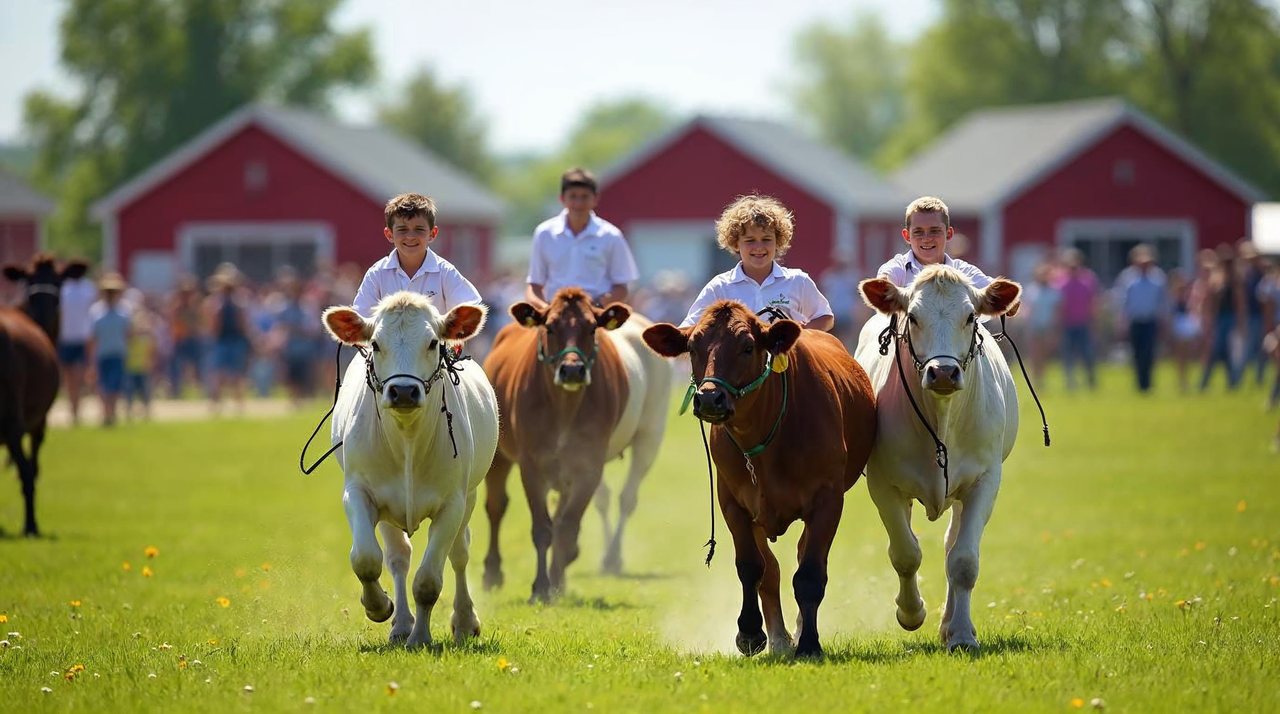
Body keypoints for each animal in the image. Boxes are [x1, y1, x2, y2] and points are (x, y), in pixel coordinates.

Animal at [1, 255, 85, 536]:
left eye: (59, 282)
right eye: (29, 283)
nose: (46, 311)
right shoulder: (39, 421)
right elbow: (32, 469)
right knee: (26, 470)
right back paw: (31, 525)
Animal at [321, 292, 499, 649]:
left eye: (432, 342)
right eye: (375, 343)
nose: (403, 391)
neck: (407, 439)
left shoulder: (452, 503)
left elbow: (428, 580)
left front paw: (421, 638)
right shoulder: (358, 492)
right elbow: (366, 559)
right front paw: (378, 606)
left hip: (471, 495)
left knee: (459, 553)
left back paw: (463, 621)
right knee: (398, 557)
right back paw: (401, 623)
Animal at [481, 287, 672, 602]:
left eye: (592, 327)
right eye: (549, 327)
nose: (572, 370)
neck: (564, 405)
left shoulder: (588, 464)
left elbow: (567, 526)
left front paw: (557, 582)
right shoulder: (531, 463)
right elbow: (542, 528)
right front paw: (540, 587)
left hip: (651, 430)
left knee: (625, 497)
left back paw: (610, 557)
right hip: (499, 450)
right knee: (496, 505)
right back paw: (492, 573)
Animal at [643, 300, 877, 658]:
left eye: (747, 347)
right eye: (693, 347)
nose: (709, 398)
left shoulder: (828, 499)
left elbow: (810, 573)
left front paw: (809, 643)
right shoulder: (733, 503)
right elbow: (752, 566)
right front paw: (750, 632)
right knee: (773, 570)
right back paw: (779, 636)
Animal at [854, 264, 1021, 652]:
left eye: (971, 316)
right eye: (913, 317)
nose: (943, 372)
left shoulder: (984, 480)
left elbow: (963, 560)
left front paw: (961, 634)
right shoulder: (882, 482)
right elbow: (905, 553)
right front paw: (911, 612)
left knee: (951, 545)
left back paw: (951, 623)